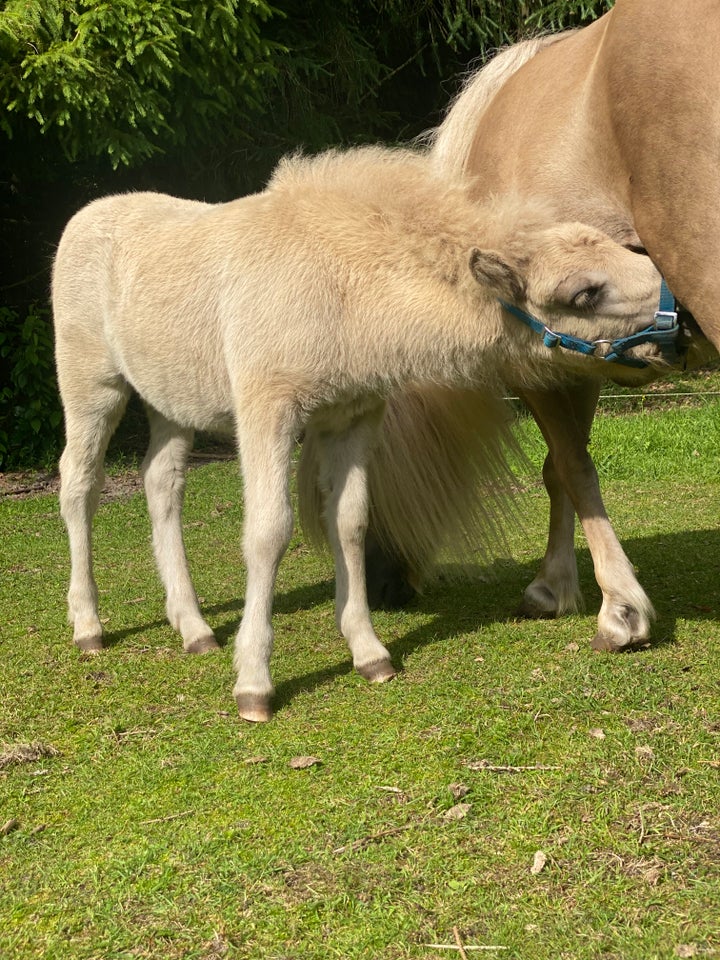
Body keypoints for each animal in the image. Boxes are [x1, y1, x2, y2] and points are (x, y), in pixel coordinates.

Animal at [372, 0, 720, 652]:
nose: (380, 584)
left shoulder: (542, 367)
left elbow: (571, 468)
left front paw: (612, 606)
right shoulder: (583, 361)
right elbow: (560, 467)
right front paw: (558, 585)